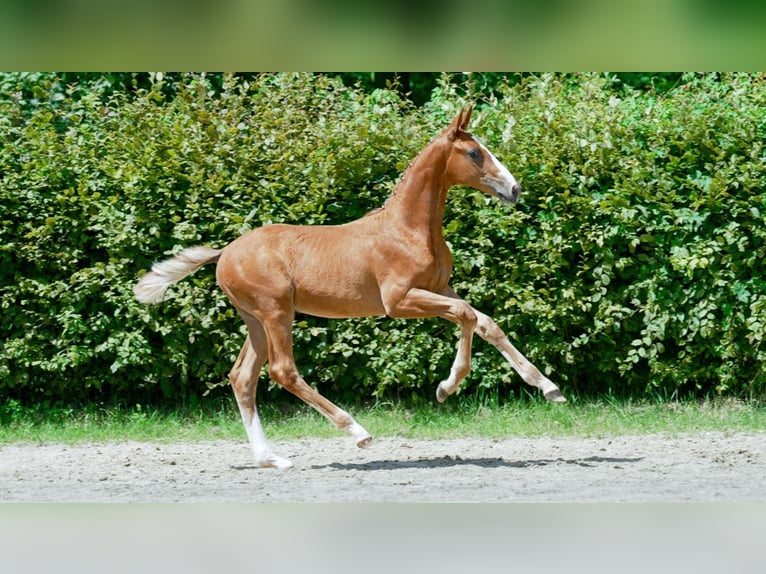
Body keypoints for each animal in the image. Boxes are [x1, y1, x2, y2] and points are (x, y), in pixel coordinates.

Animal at [135, 108, 568, 472]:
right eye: (475, 152)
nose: (514, 189)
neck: (407, 229)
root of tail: (225, 252)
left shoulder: (440, 288)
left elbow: (486, 322)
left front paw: (548, 387)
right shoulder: (398, 301)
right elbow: (466, 317)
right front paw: (447, 387)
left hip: (255, 319)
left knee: (242, 378)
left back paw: (271, 459)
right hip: (276, 312)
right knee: (282, 370)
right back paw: (357, 432)